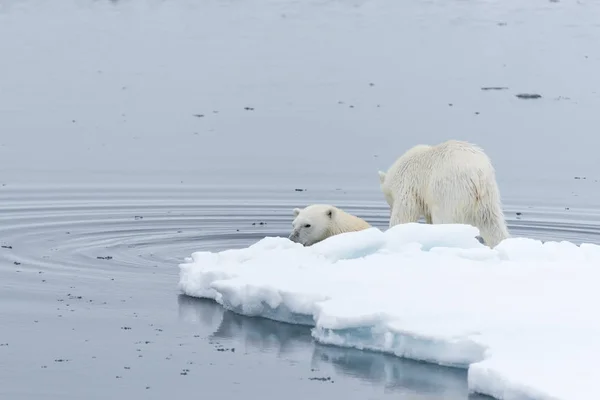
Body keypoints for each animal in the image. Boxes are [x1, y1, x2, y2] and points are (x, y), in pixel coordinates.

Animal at [378, 140, 508, 247]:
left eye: (389, 201)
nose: (389, 210)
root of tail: (476, 175)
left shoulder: (408, 186)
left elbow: (404, 214)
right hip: (487, 196)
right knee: (492, 224)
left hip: (448, 192)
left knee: (444, 220)